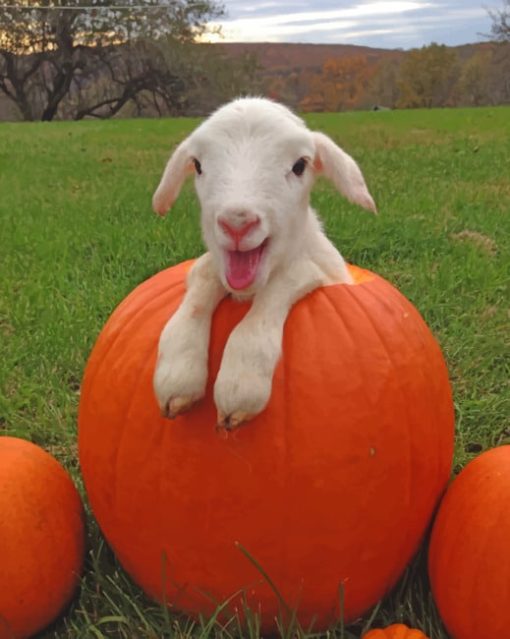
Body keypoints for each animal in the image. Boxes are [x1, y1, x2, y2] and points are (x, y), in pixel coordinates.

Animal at [151, 97, 374, 432]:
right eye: (199, 165)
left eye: (300, 165)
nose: (237, 222)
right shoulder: (212, 270)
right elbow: (202, 277)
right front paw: (178, 374)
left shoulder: (315, 271)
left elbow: (289, 279)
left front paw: (241, 382)